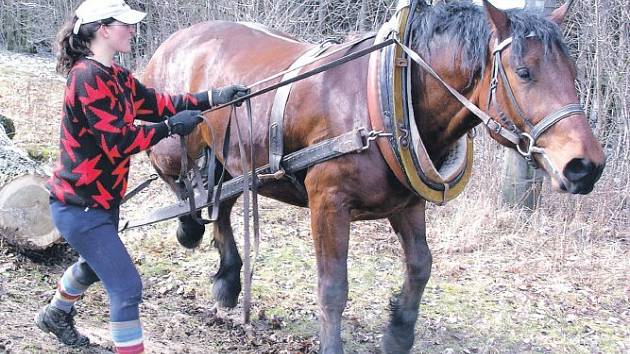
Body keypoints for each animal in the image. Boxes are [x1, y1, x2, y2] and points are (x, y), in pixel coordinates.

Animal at [143, 1, 608, 352]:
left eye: (573, 74)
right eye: (525, 72)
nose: (585, 166)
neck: (386, 97)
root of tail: (176, 41)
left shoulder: (408, 203)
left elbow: (421, 266)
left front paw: (398, 332)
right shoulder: (327, 201)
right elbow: (333, 286)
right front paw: (333, 345)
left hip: (231, 155)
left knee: (221, 203)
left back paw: (227, 279)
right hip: (173, 144)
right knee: (183, 185)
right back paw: (190, 228)